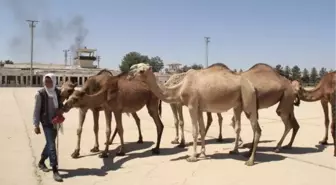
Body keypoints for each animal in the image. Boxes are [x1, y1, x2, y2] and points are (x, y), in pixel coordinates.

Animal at [127, 62, 262, 165]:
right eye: (136, 66)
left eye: (142, 70)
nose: (129, 73)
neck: (180, 88)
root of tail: (252, 86)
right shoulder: (199, 108)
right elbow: (201, 130)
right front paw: (202, 153)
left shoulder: (192, 105)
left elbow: (194, 131)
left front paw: (192, 157)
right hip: (238, 104)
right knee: (239, 126)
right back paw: (234, 151)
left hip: (248, 99)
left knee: (257, 129)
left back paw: (250, 160)